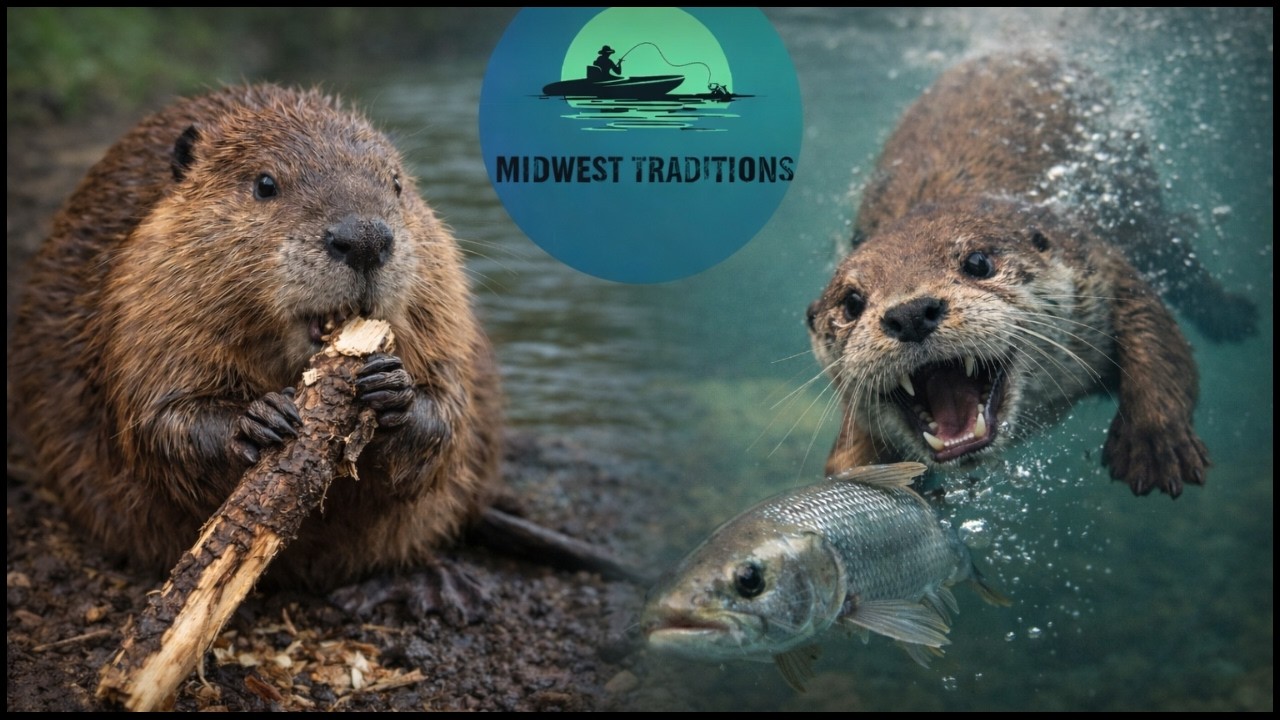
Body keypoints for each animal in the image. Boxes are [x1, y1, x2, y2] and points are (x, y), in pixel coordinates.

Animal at [8, 85, 502, 588]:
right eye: (265, 184)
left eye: (397, 184)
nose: (364, 238)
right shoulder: (143, 297)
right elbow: (156, 417)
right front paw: (261, 420)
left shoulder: (443, 306)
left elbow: (448, 407)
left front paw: (391, 389)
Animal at [806, 54, 1255, 498]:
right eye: (851, 303)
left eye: (978, 263)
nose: (912, 313)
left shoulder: (1098, 263)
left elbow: (1159, 341)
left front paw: (1156, 444)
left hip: (1138, 190)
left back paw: (1232, 315)